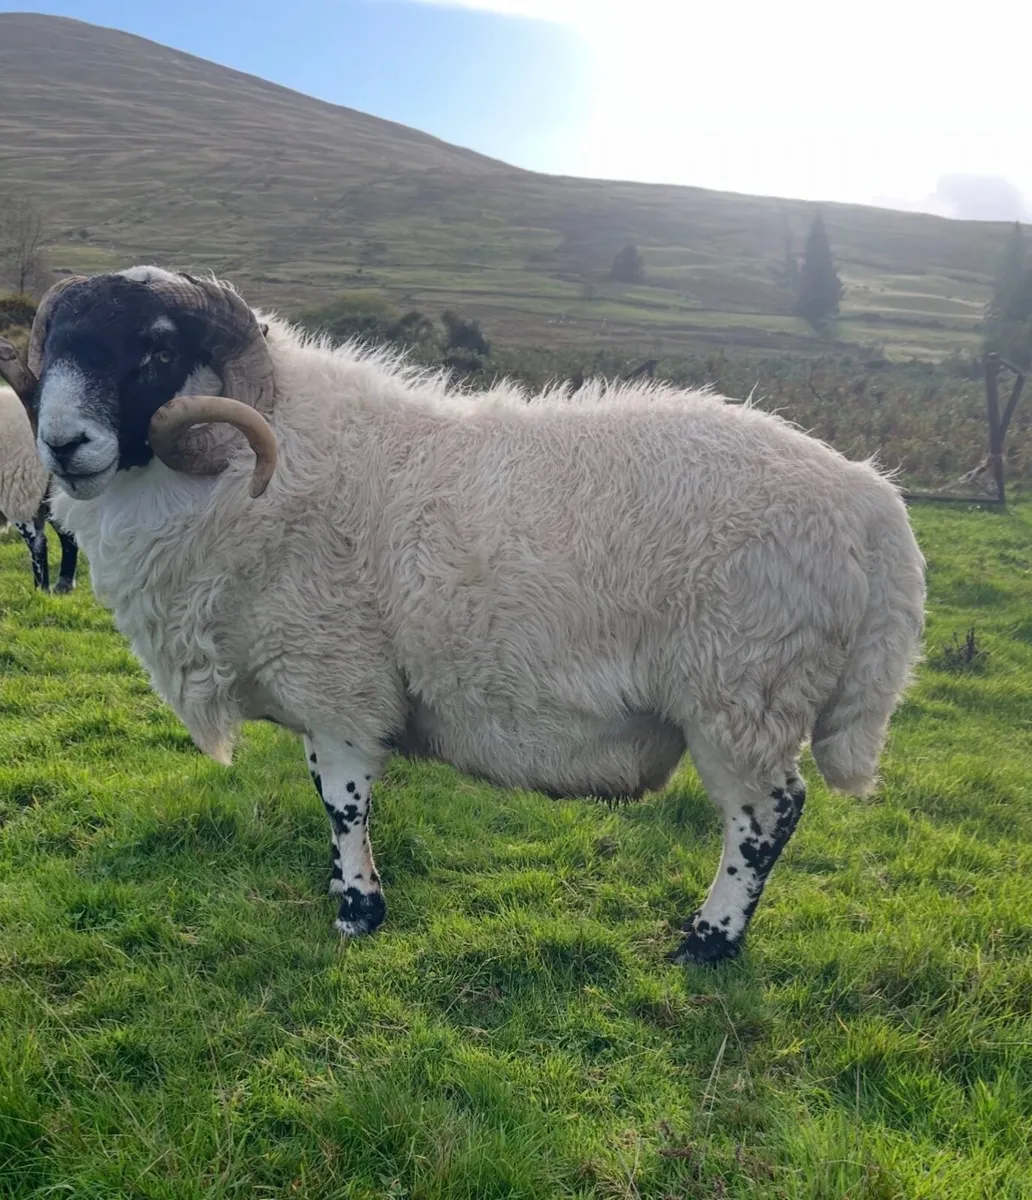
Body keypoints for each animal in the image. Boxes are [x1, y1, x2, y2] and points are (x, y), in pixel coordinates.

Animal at [0, 382, 78, 592]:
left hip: (18, 490)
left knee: (38, 543)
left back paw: (40, 590)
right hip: (53, 491)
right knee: (67, 535)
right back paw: (63, 585)